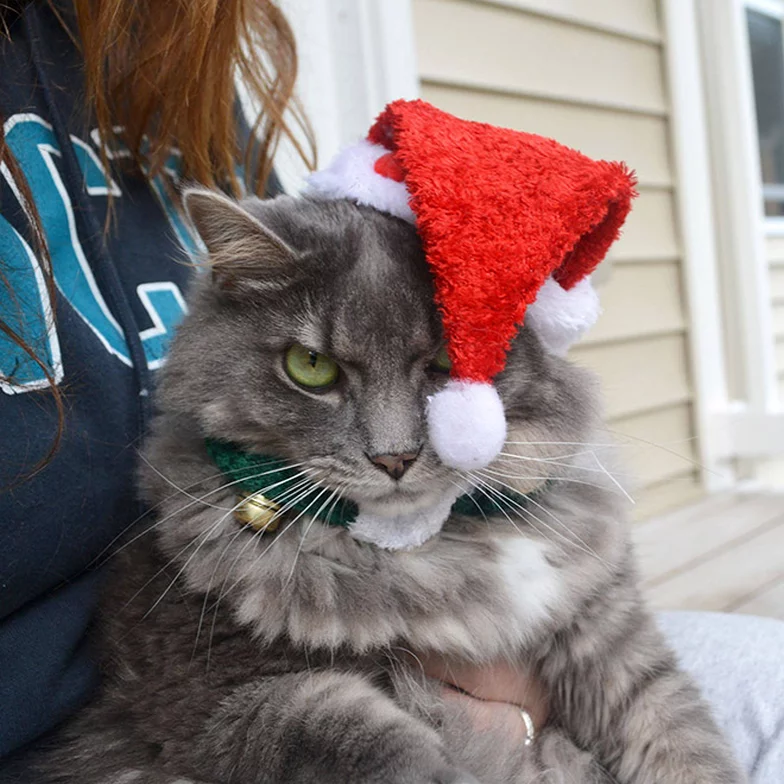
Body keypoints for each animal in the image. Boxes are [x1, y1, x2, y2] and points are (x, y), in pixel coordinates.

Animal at [39, 191, 744, 784]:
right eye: (311, 367)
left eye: (450, 364)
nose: (395, 457)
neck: (427, 549)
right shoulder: (217, 695)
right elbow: (381, 747)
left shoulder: (612, 638)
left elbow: (681, 742)